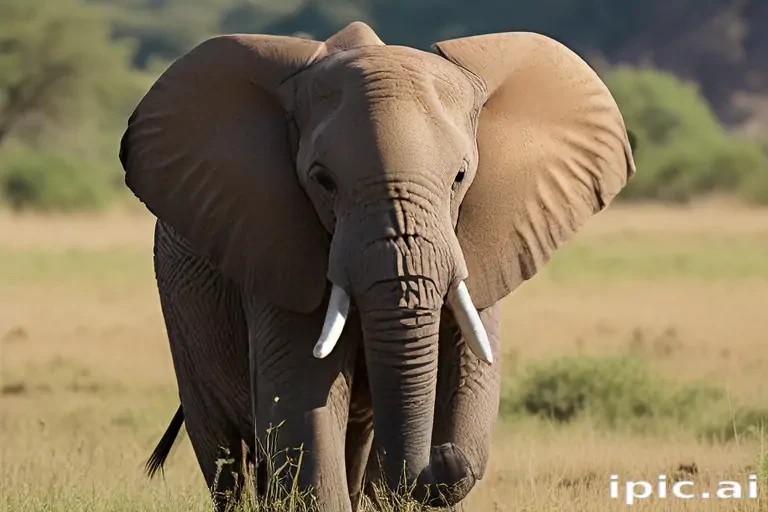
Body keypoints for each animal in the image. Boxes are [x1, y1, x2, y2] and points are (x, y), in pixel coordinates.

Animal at [119, 21, 635, 512]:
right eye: (322, 180)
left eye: (460, 176)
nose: (439, 455)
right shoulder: (276, 243)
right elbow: (302, 405)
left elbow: (473, 384)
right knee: (225, 457)